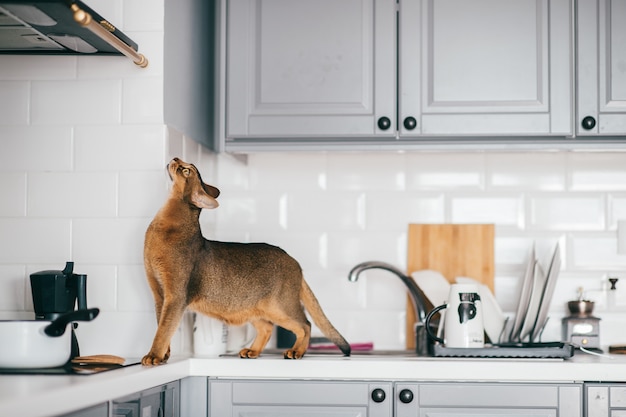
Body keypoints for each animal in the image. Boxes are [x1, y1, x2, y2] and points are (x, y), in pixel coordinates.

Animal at [140, 157, 352, 364]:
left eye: (186, 170)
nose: (175, 158)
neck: (162, 226)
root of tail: (293, 260)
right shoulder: (159, 295)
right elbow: (161, 326)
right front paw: (164, 355)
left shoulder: (176, 296)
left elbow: (164, 330)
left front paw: (153, 355)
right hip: (252, 307)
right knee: (267, 327)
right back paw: (252, 351)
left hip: (280, 306)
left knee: (305, 325)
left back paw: (296, 351)